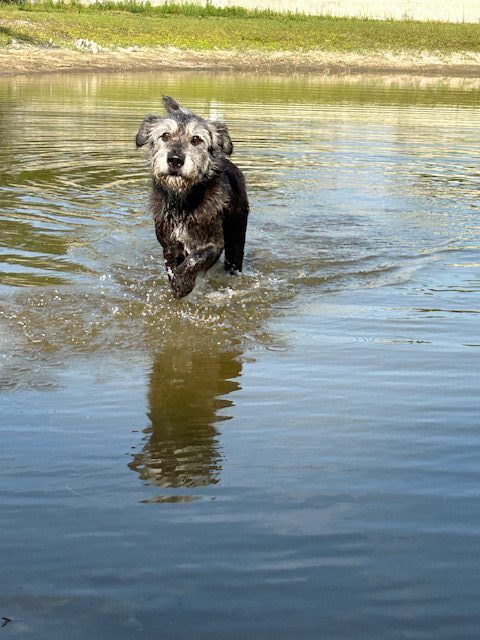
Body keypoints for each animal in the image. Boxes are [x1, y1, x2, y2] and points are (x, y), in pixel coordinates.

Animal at [134, 95, 248, 300]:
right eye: (165, 136)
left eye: (196, 139)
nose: (175, 160)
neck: (183, 202)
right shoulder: (169, 245)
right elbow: (171, 265)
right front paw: (177, 282)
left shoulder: (214, 244)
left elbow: (195, 259)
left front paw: (182, 284)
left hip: (236, 236)